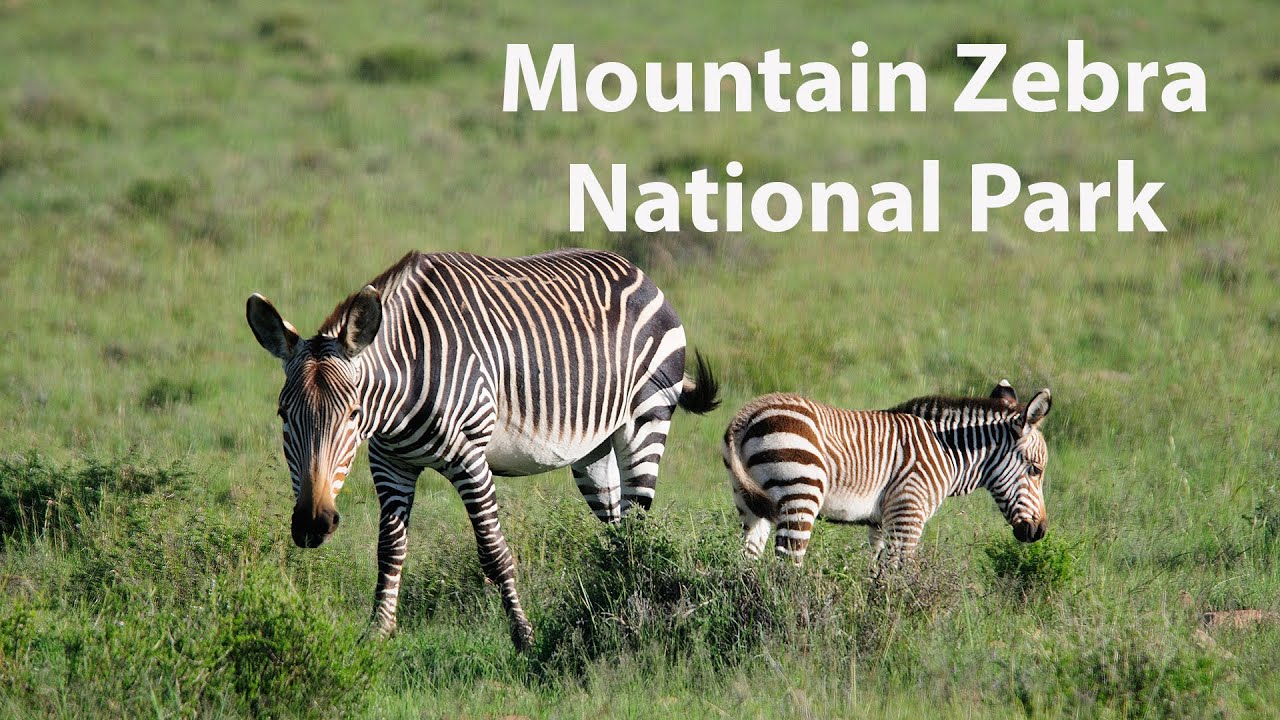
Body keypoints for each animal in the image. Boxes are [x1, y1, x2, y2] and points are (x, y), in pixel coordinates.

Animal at [245, 248, 720, 650]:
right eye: (283, 415)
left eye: (352, 413)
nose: (312, 523)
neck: (398, 391)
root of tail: (640, 273)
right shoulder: (390, 462)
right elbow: (389, 549)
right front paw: (378, 633)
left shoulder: (469, 458)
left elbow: (494, 553)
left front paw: (524, 637)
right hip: (594, 450)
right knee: (618, 528)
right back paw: (613, 594)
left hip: (646, 421)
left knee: (639, 526)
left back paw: (633, 597)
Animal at [721, 380, 1051, 567]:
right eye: (1036, 470)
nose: (1039, 532)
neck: (946, 450)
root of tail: (746, 415)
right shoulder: (909, 514)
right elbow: (898, 577)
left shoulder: (881, 522)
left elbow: (876, 575)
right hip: (800, 493)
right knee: (787, 568)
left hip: (749, 503)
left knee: (747, 563)